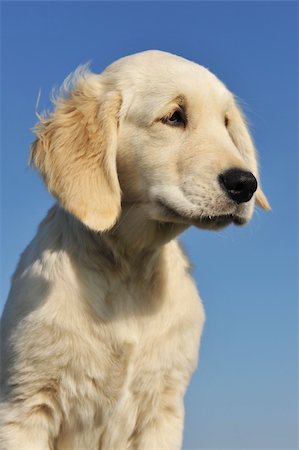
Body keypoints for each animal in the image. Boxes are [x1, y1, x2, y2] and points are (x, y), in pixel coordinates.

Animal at [0, 51, 272, 448]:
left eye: (226, 123)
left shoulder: (163, 408)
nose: (245, 184)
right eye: (174, 116)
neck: (129, 266)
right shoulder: (24, 404)